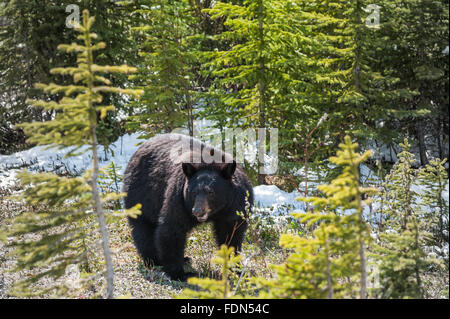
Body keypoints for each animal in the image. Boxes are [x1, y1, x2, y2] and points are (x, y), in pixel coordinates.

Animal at [122, 134, 253, 282]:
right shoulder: (179, 198)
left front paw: (236, 267)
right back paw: (153, 260)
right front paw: (180, 273)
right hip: (141, 195)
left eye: (211, 192)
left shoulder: (235, 205)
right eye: (194, 192)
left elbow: (231, 233)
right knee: (143, 229)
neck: (217, 211)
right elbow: (172, 228)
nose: (197, 211)